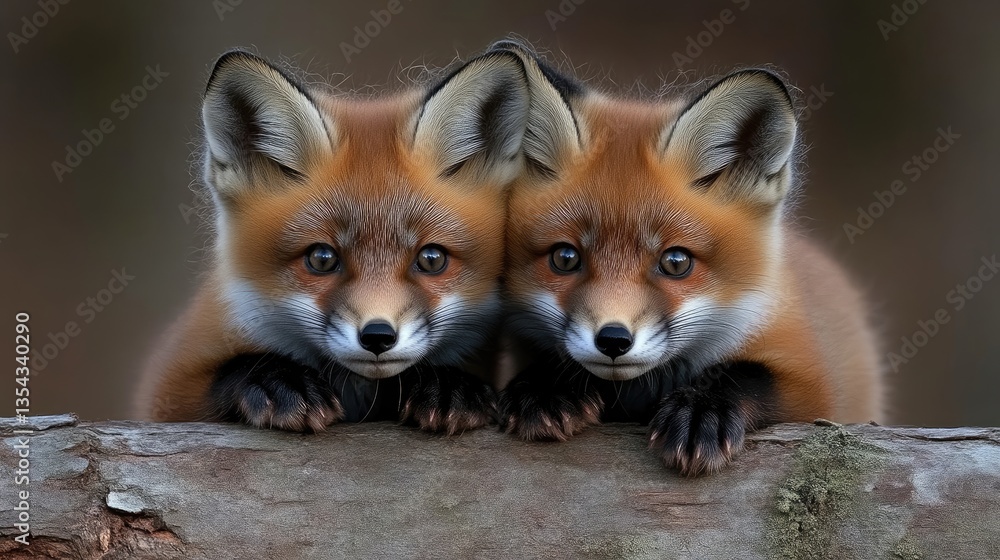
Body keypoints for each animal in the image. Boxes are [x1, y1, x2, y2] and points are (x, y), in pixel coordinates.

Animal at [136, 48, 530, 433]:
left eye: (431, 259)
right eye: (321, 259)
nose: (377, 336)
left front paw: (447, 386)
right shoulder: (168, 388)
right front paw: (277, 381)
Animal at [495, 42, 884, 475]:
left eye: (676, 262)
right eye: (565, 258)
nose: (613, 340)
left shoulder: (813, 385)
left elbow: (745, 377)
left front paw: (702, 409)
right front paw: (546, 387)